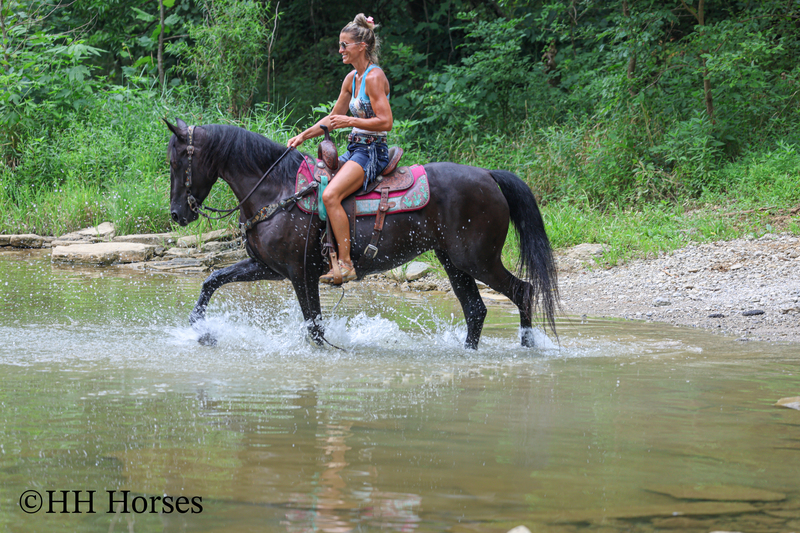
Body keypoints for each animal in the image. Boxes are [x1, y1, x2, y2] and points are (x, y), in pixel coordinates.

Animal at [165, 118, 559, 349]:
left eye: (177, 162)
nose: (177, 214)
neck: (277, 190)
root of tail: (490, 176)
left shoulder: (301, 274)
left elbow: (315, 328)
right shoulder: (268, 268)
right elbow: (213, 280)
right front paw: (203, 333)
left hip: (478, 260)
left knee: (523, 292)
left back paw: (527, 348)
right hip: (454, 262)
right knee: (476, 310)